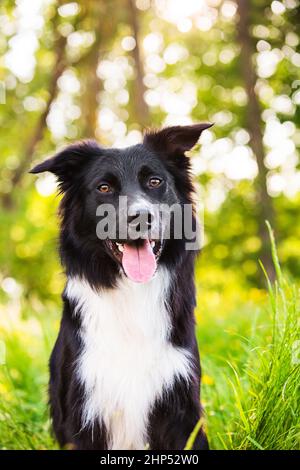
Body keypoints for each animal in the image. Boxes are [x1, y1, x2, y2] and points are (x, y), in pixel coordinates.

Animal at [31, 124, 211, 452]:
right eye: (104, 188)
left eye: (155, 182)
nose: (140, 217)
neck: (131, 291)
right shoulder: (83, 409)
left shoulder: (181, 406)